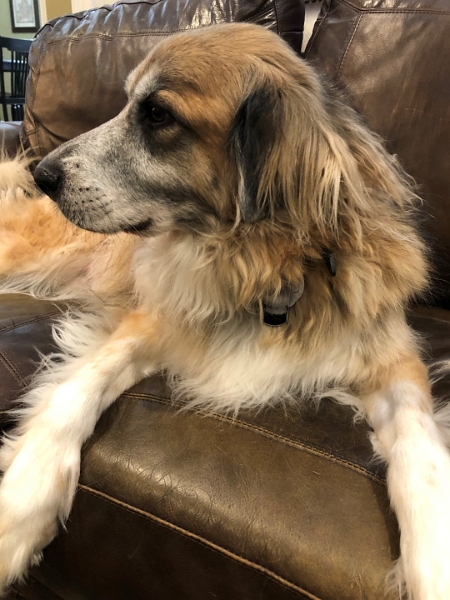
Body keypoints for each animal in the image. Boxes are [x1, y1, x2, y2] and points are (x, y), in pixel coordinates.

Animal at [0, 22, 449, 599]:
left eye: (158, 115)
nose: (44, 172)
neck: (264, 266)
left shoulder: (392, 359)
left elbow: (421, 453)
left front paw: (433, 564)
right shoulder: (152, 320)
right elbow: (76, 388)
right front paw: (23, 502)